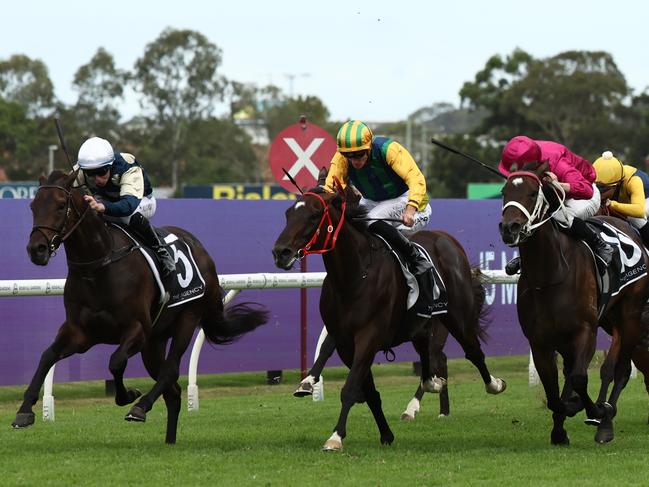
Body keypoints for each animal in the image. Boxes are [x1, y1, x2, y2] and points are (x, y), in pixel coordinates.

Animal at [16, 170, 268, 444]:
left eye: (61, 205)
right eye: (33, 206)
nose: (36, 249)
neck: (99, 267)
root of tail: (203, 252)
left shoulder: (136, 329)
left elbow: (116, 361)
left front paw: (128, 396)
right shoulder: (79, 333)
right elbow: (47, 356)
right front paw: (24, 411)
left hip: (187, 318)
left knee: (170, 371)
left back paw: (141, 407)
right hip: (154, 342)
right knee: (173, 390)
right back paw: (169, 441)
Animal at [270, 175, 504, 454]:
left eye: (314, 215)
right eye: (288, 214)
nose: (280, 252)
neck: (354, 276)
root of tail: (447, 239)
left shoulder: (368, 337)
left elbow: (350, 388)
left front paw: (335, 437)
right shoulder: (346, 342)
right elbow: (368, 391)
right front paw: (386, 434)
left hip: (458, 317)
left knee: (473, 352)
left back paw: (494, 384)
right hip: (421, 326)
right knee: (432, 356)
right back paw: (431, 385)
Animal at [496, 161, 648, 446]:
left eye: (532, 192)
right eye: (504, 192)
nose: (509, 228)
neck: (550, 275)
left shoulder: (585, 331)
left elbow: (578, 377)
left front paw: (594, 410)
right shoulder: (540, 341)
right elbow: (553, 392)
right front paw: (561, 426)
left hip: (630, 315)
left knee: (621, 368)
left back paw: (605, 423)